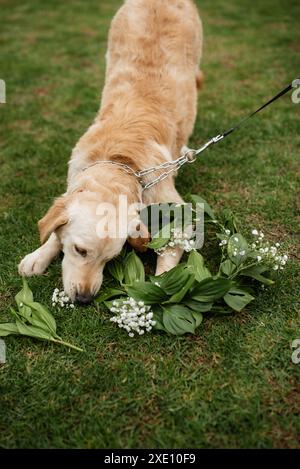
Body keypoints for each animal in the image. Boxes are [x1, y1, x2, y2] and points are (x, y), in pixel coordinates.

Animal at [18, 0, 202, 304]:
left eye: (110, 258)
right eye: (80, 250)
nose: (84, 299)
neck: (119, 161)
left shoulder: (178, 210)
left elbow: (171, 251)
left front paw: (161, 288)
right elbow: (55, 231)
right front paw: (39, 256)